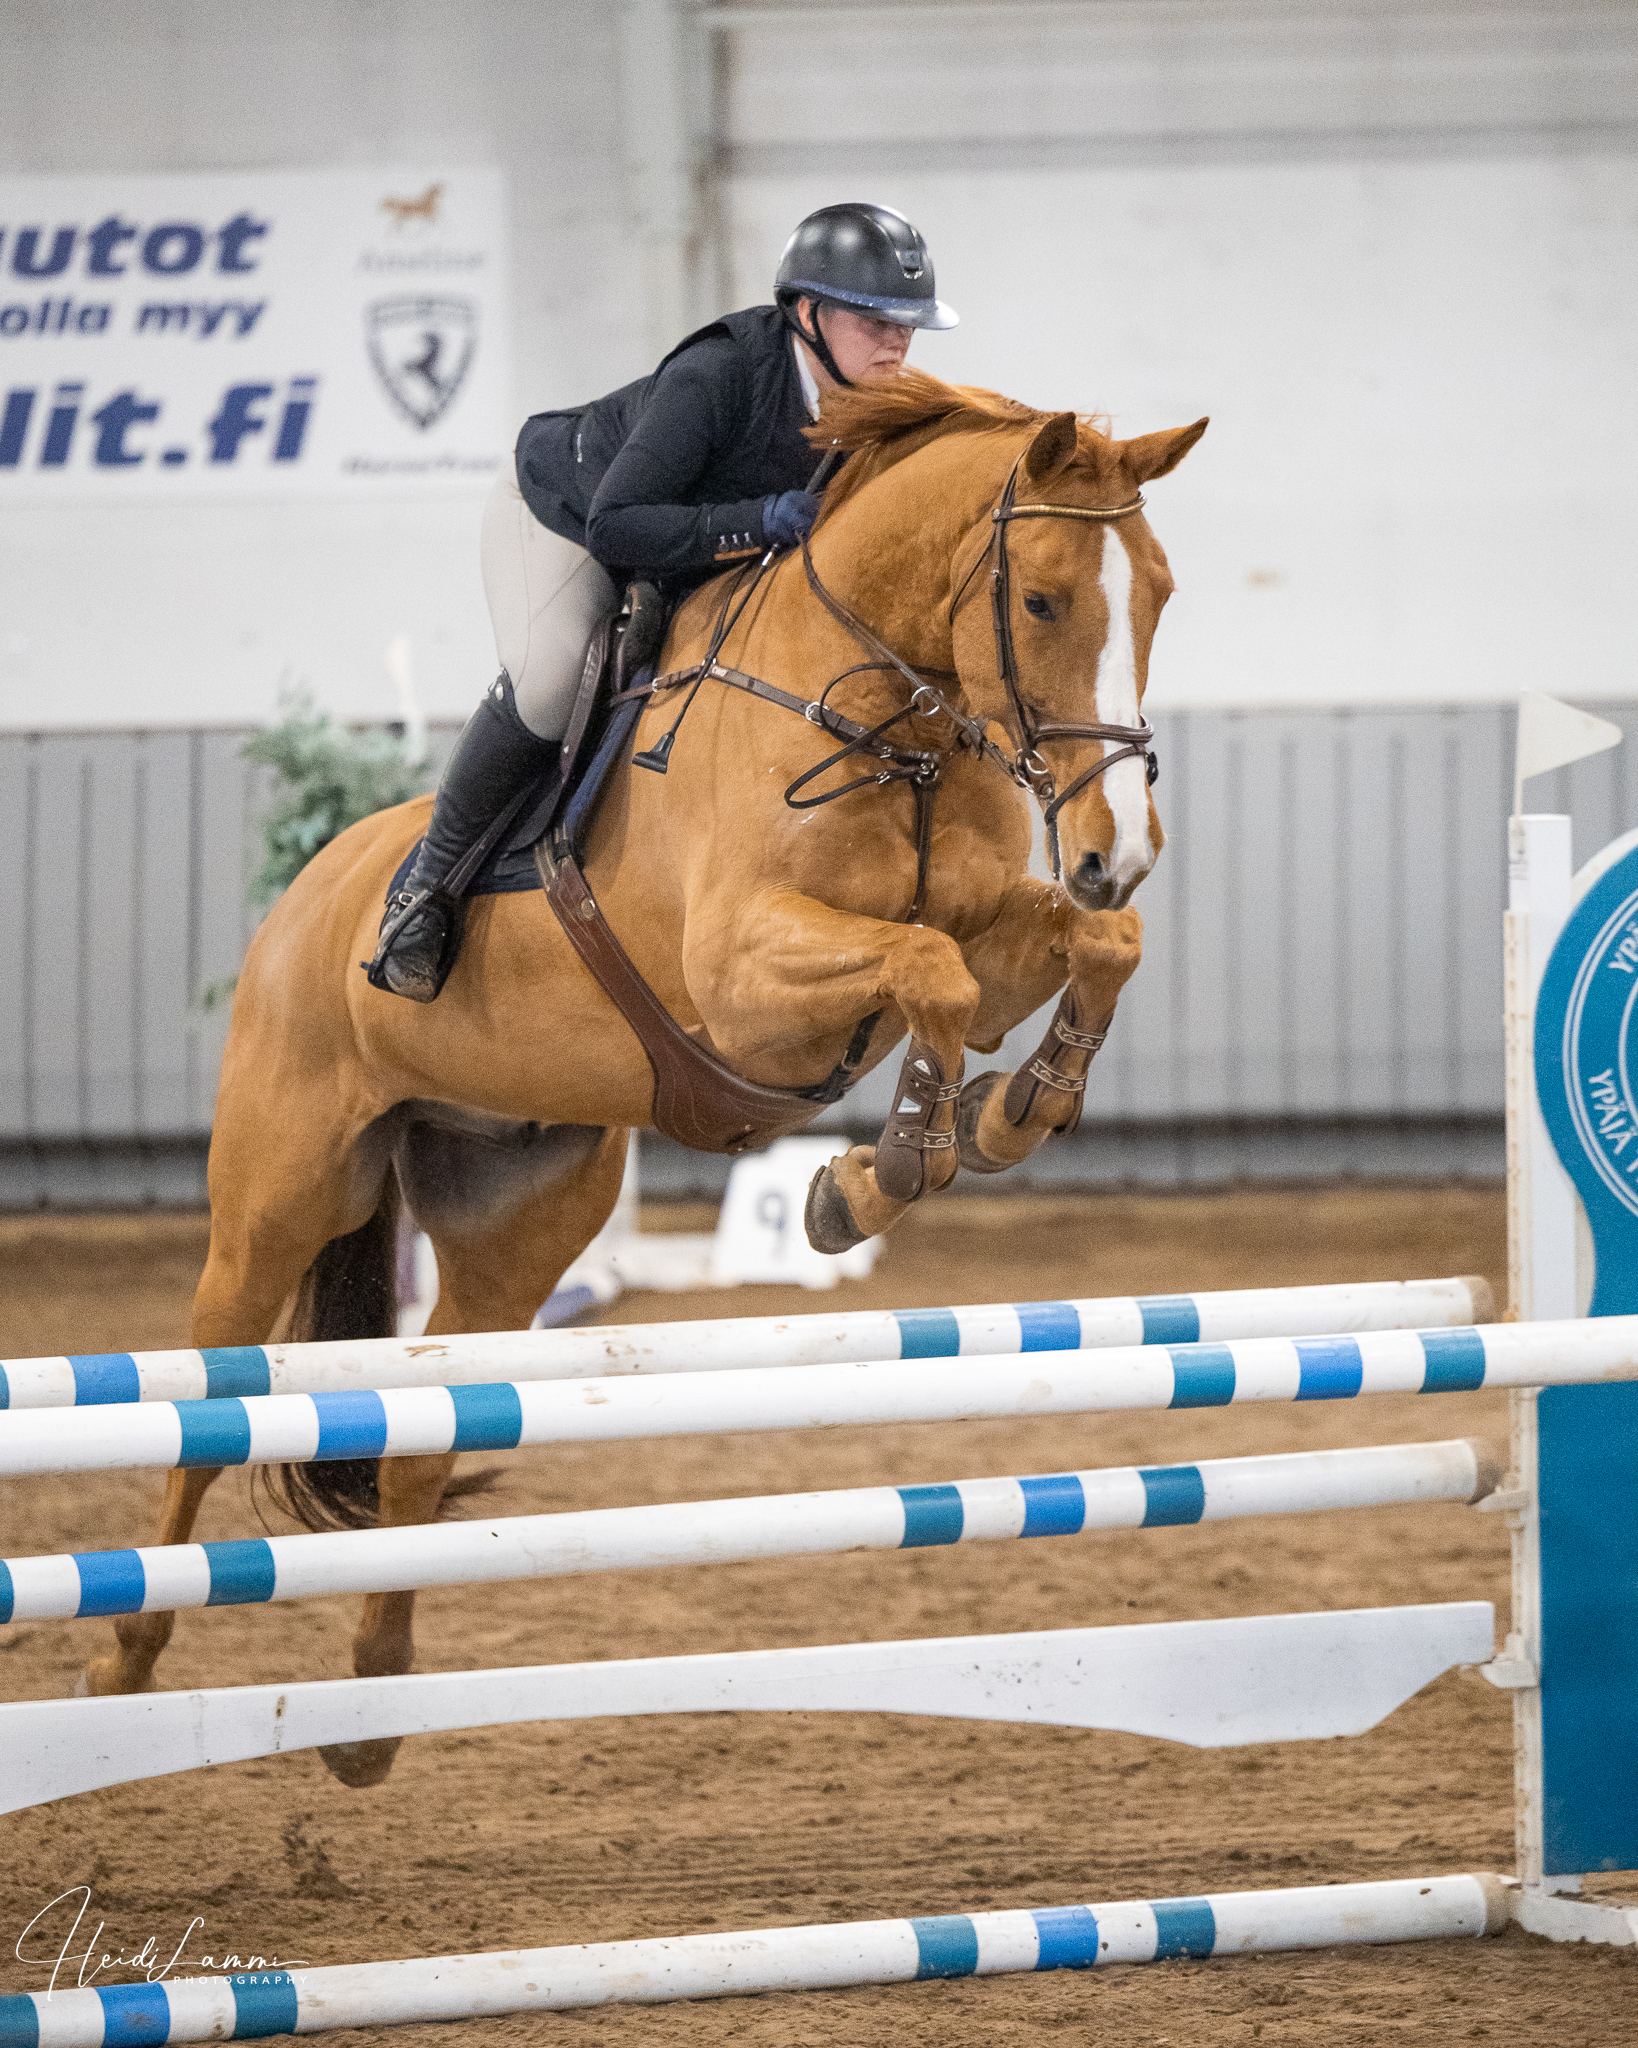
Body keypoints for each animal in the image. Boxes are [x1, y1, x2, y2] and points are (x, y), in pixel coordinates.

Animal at [81, 370, 1206, 1787]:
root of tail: (304, 893)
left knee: (422, 1433)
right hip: (280, 1197)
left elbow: (1076, 951)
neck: (881, 723)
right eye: (1047, 598)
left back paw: (373, 1705)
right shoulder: (743, 982)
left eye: (1159, 590)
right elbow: (931, 970)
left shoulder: (995, 939)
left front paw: (1004, 1115)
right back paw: (123, 1657)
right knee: (210, 1398)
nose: (1120, 850)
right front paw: (882, 1169)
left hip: (515, 1224)